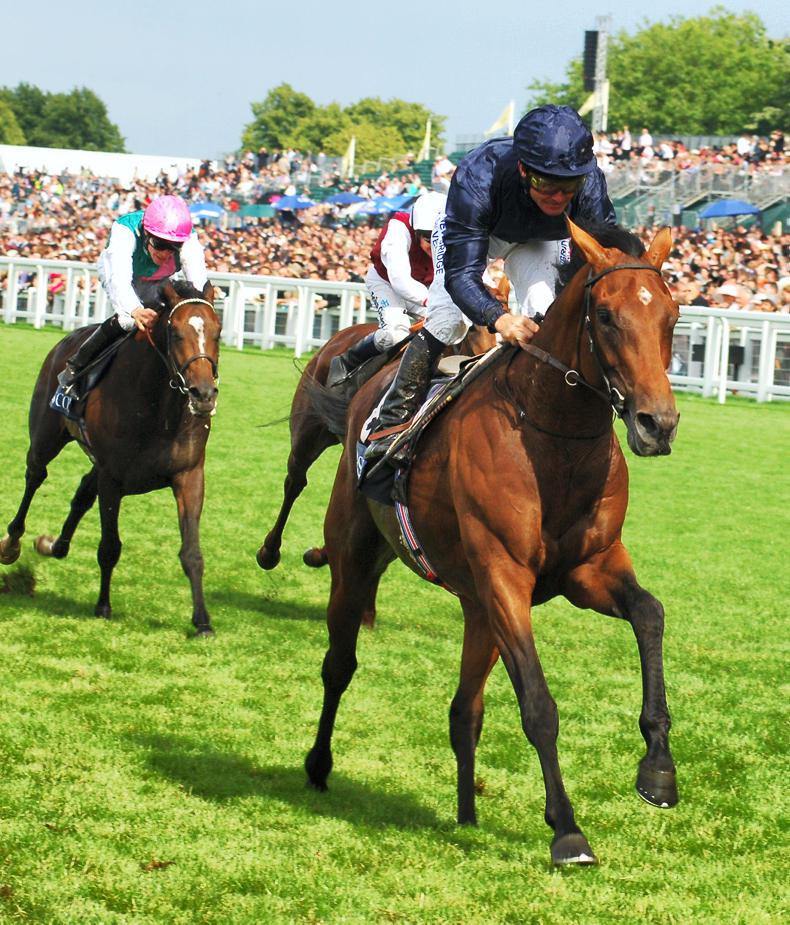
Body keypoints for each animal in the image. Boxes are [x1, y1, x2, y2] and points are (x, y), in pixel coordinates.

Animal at [0, 280, 221, 637]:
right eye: (175, 333)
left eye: (217, 331)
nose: (203, 394)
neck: (157, 408)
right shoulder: (112, 478)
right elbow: (109, 547)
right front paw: (103, 605)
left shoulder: (188, 476)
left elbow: (192, 553)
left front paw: (202, 621)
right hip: (46, 437)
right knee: (35, 476)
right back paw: (12, 543)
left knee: (81, 492)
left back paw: (54, 545)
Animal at [301, 219, 681, 865]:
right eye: (606, 316)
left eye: (673, 314)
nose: (658, 424)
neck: (554, 436)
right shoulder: (506, 576)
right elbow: (538, 704)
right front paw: (567, 831)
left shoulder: (589, 569)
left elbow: (649, 614)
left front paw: (658, 768)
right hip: (356, 560)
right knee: (339, 665)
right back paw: (319, 764)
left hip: (477, 606)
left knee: (464, 711)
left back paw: (465, 814)